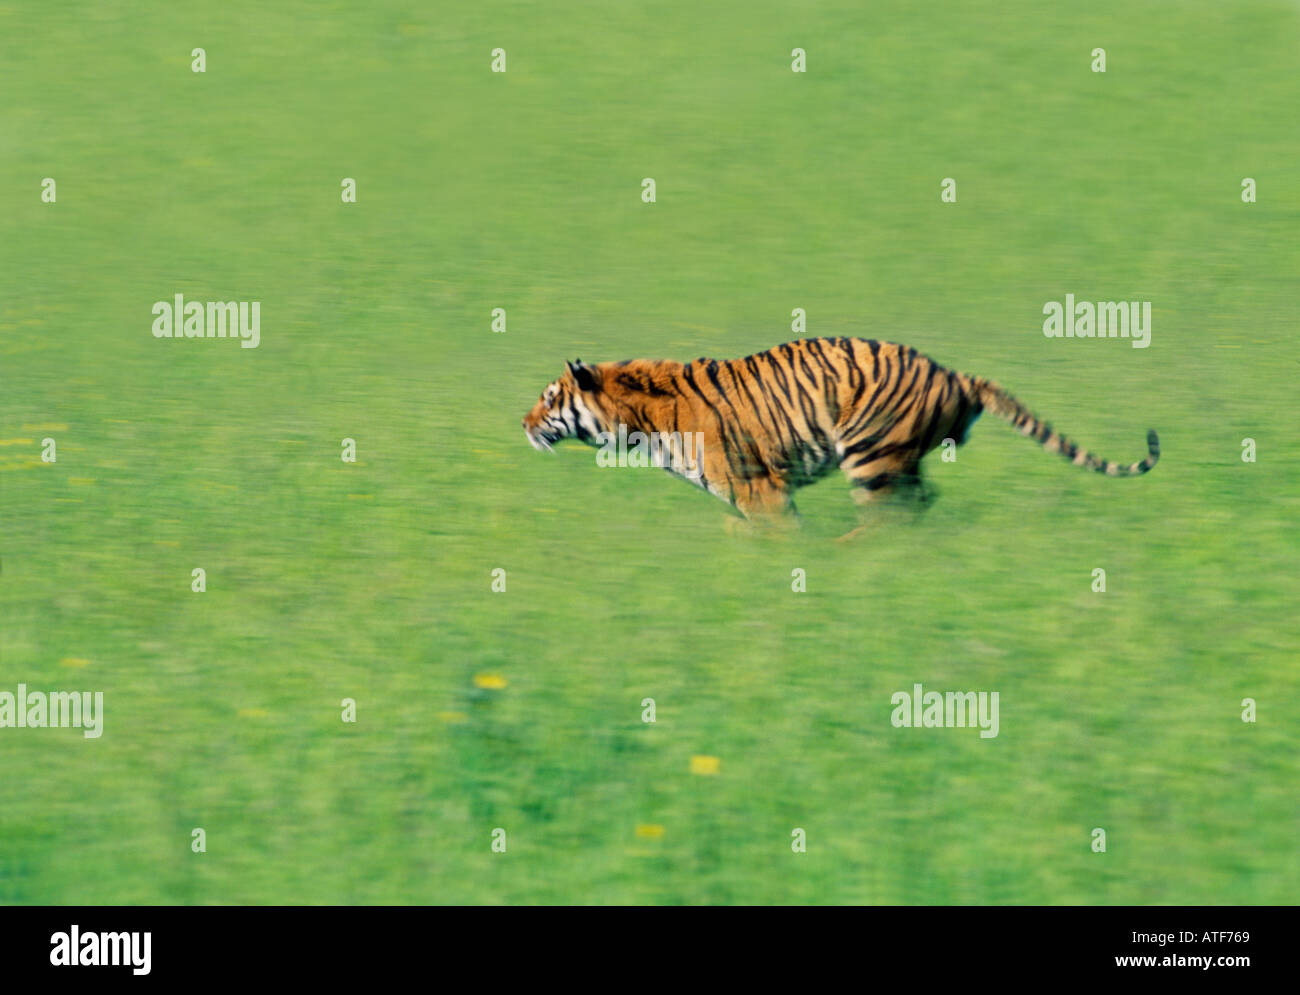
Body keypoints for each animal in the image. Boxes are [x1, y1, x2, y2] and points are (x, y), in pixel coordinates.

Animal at [522, 337, 1158, 531]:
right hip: (898, 463)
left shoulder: (761, 490)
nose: (522, 423)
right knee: (917, 508)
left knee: (885, 525)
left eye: (550, 398)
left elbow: (776, 538)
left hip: (871, 457)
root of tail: (956, 373)